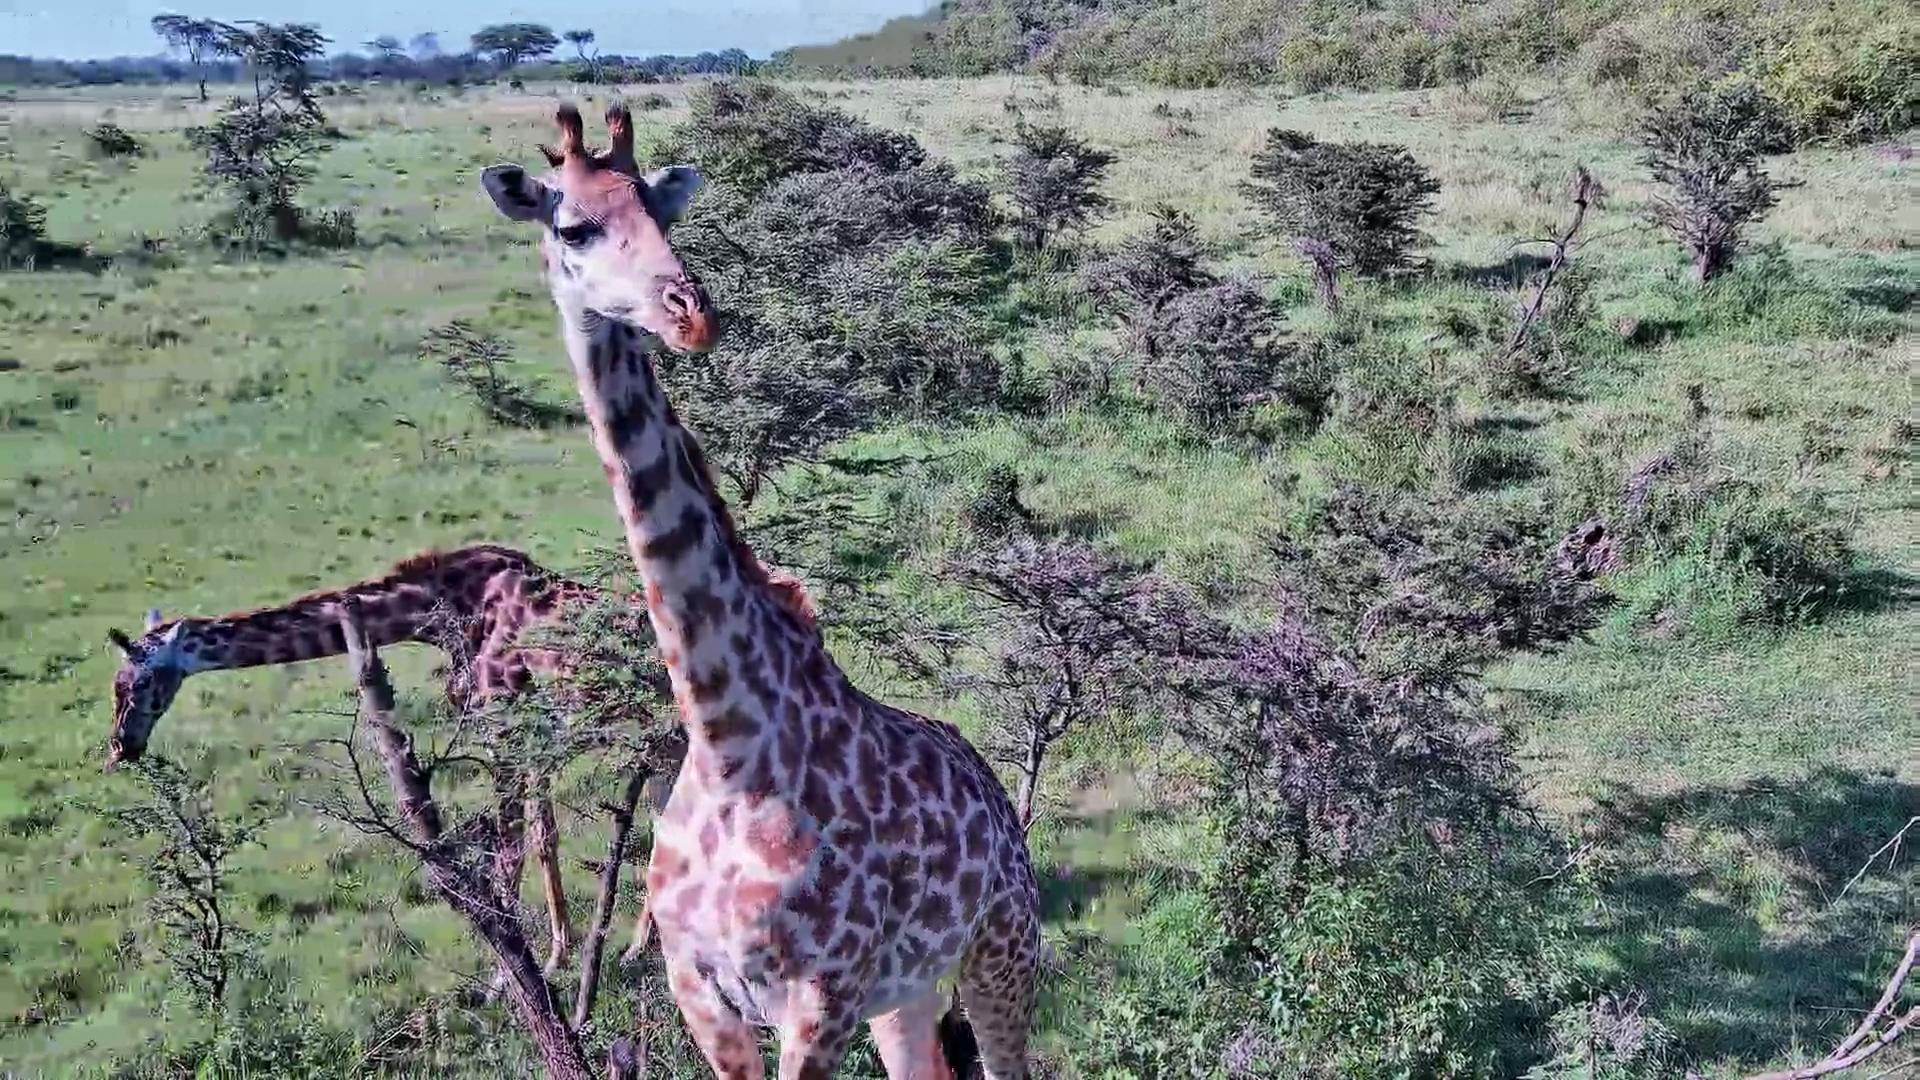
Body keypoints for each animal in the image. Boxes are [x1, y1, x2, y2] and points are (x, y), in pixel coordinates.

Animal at [478, 102, 1041, 1079]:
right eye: (573, 226)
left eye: (661, 209)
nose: (691, 313)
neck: (729, 745)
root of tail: (998, 794)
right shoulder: (704, 992)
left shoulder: (819, 996)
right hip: (907, 991)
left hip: (1001, 949)